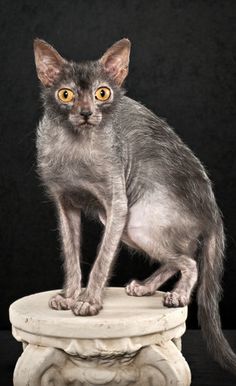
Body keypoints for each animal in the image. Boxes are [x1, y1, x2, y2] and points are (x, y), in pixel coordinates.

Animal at [33, 37, 236, 372]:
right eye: (66, 94)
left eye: (103, 93)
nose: (86, 113)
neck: (76, 149)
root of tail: (212, 211)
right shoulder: (66, 205)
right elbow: (72, 257)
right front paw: (70, 295)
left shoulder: (117, 205)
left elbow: (101, 261)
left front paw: (88, 302)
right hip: (128, 227)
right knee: (177, 257)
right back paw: (146, 287)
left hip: (137, 220)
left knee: (189, 260)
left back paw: (177, 296)